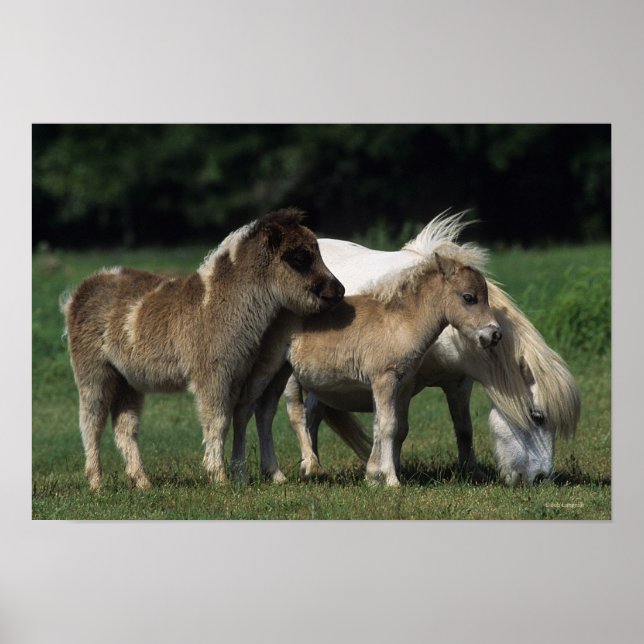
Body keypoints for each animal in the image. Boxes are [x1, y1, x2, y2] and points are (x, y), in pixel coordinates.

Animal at [61, 208, 345, 490]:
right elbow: (217, 421)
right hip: (94, 371)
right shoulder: (212, 374)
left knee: (125, 428)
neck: (219, 303)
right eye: (301, 257)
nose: (339, 291)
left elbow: (230, 418)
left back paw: (142, 482)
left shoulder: (235, 376)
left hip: (127, 380)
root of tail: (79, 292)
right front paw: (218, 477)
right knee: (91, 422)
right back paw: (96, 483)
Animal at [232, 239, 501, 487]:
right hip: (269, 368)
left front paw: (372, 477)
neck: (399, 323)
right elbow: (389, 426)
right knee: (250, 408)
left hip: (282, 372)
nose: (494, 334)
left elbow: (382, 426)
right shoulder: (384, 379)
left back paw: (276, 474)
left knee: (265, 411)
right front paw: (391, 480)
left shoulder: (398, 385)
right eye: (469, 298)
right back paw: (244, 473)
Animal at [281, 212, 580, 485]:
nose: (541, 479)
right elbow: (396, 428)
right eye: (537, 416)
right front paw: (389, 473)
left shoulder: (459, 383)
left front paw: (473, 473)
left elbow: (463, 428)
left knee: (312, 416)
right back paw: (310, 466)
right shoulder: (401, 383)